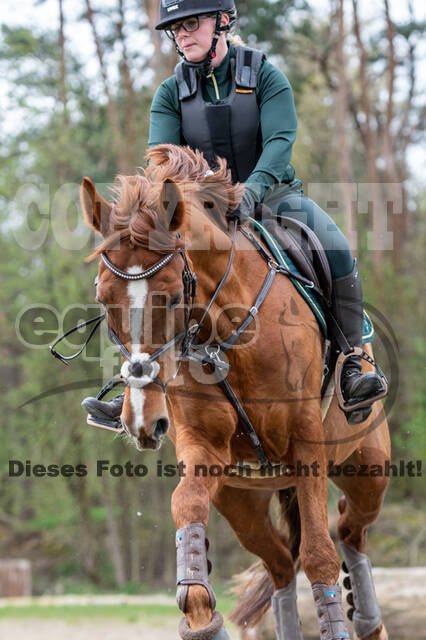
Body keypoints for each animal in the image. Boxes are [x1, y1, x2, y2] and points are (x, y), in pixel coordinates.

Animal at [79, 144, 390, 640]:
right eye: (104, 300)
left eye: (172, 296)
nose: (142, 421)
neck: (225, 334)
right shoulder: (203, 448)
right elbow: (186, 506)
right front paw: (200, 613)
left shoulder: (307, 442)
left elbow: (319, 555)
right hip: (241, 498)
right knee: (281, 563)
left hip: (367, 467)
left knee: (348, 528)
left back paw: (366, 619)